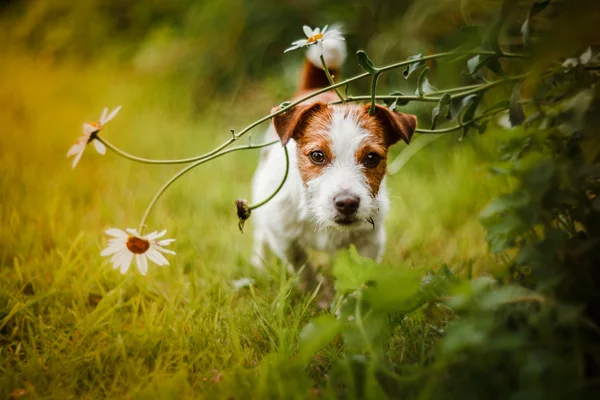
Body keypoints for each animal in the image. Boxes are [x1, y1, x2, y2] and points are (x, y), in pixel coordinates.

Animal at [251, 32, 414, 286]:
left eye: (371, 158)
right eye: (317, 156)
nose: (347, 203)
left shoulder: (370, 241)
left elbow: (360, 274)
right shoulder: (283, 237)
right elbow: (302, 267)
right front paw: (317, 292)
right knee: (260, 234)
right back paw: (259, 263)